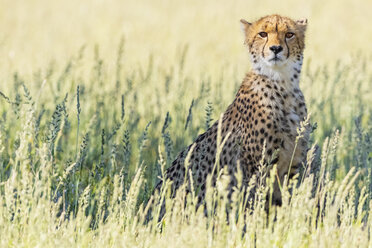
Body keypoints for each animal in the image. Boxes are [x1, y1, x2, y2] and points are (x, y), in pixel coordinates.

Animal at [154, 15, 310, 209]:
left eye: (289, 34)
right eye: (263, 34)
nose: (275, 49)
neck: (283, 85)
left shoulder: (291, 167)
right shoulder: (257, 169)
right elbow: (257, 206)